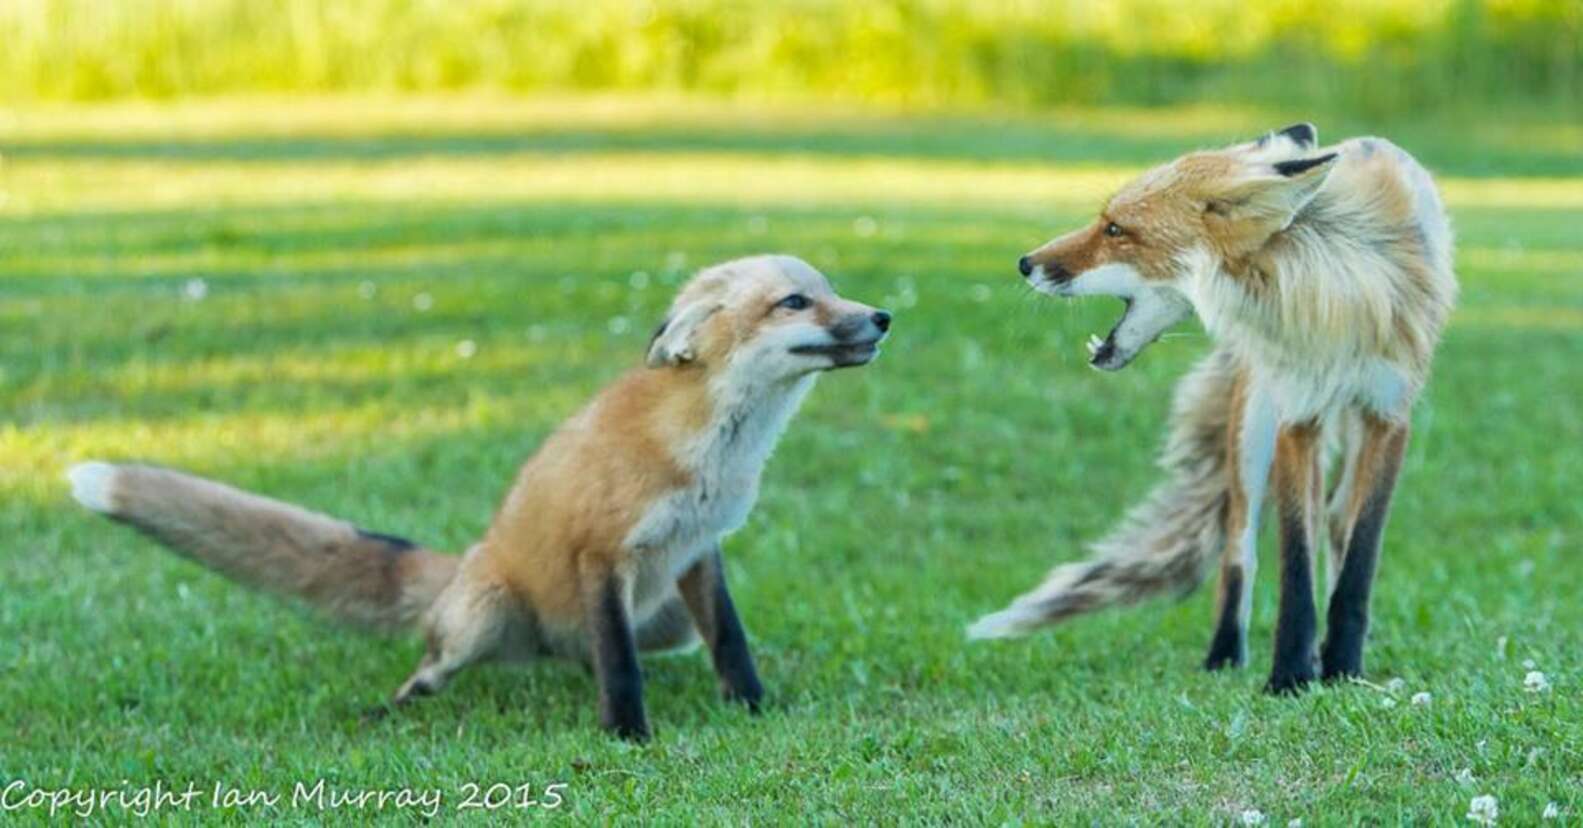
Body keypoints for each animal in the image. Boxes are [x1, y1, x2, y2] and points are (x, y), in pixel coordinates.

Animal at [67, 254, 892, 740]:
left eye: (831, 293)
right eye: (795, 303)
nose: (883, 316)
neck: (711, 452)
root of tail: (463, 562)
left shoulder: (697, 550)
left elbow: (728, 641)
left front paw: (753, 707)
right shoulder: (600, 554)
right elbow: (620, 665)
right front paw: (627, 735)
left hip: (663, 620)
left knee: (601, 652)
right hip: (484, 612)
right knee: (434, 661)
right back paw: (391, 706)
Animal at [970, 124, 1456, 693]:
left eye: (1115, 230)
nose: (1025, 263)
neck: (1334, 293)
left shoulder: (1390, 415)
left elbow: (1360, 559)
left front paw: (1342, 666)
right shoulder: (1299, 412)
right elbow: (1295, 562)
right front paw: (1290, 675)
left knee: (1337, 524)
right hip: (1253, 428)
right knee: (1239, 548)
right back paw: (1225, 655)